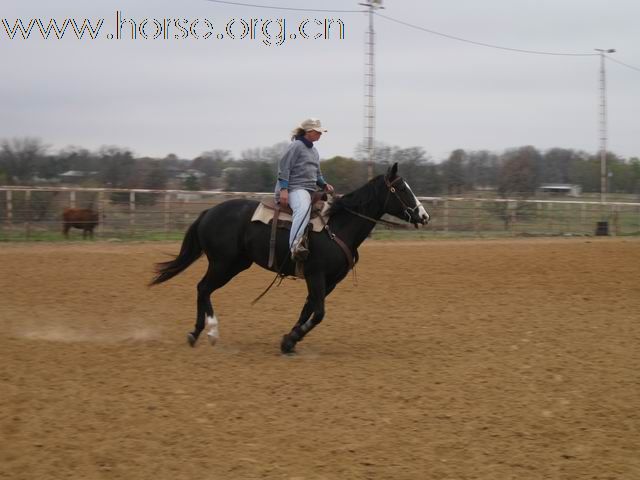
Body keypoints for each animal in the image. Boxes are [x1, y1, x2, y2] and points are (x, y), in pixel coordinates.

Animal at [150, 163, 430, 354]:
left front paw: (289, 340)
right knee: (203, 288)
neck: (338, 227)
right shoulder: (316, 275)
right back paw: (209, 331)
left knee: (203, 289)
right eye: (401, 188)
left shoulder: (329, 281)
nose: (424, 216)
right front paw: (292, 339)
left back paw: (198, 333)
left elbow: (308, 309)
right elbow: (319, 312)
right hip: (223, 264)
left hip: (236, 264)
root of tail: (208, 211)